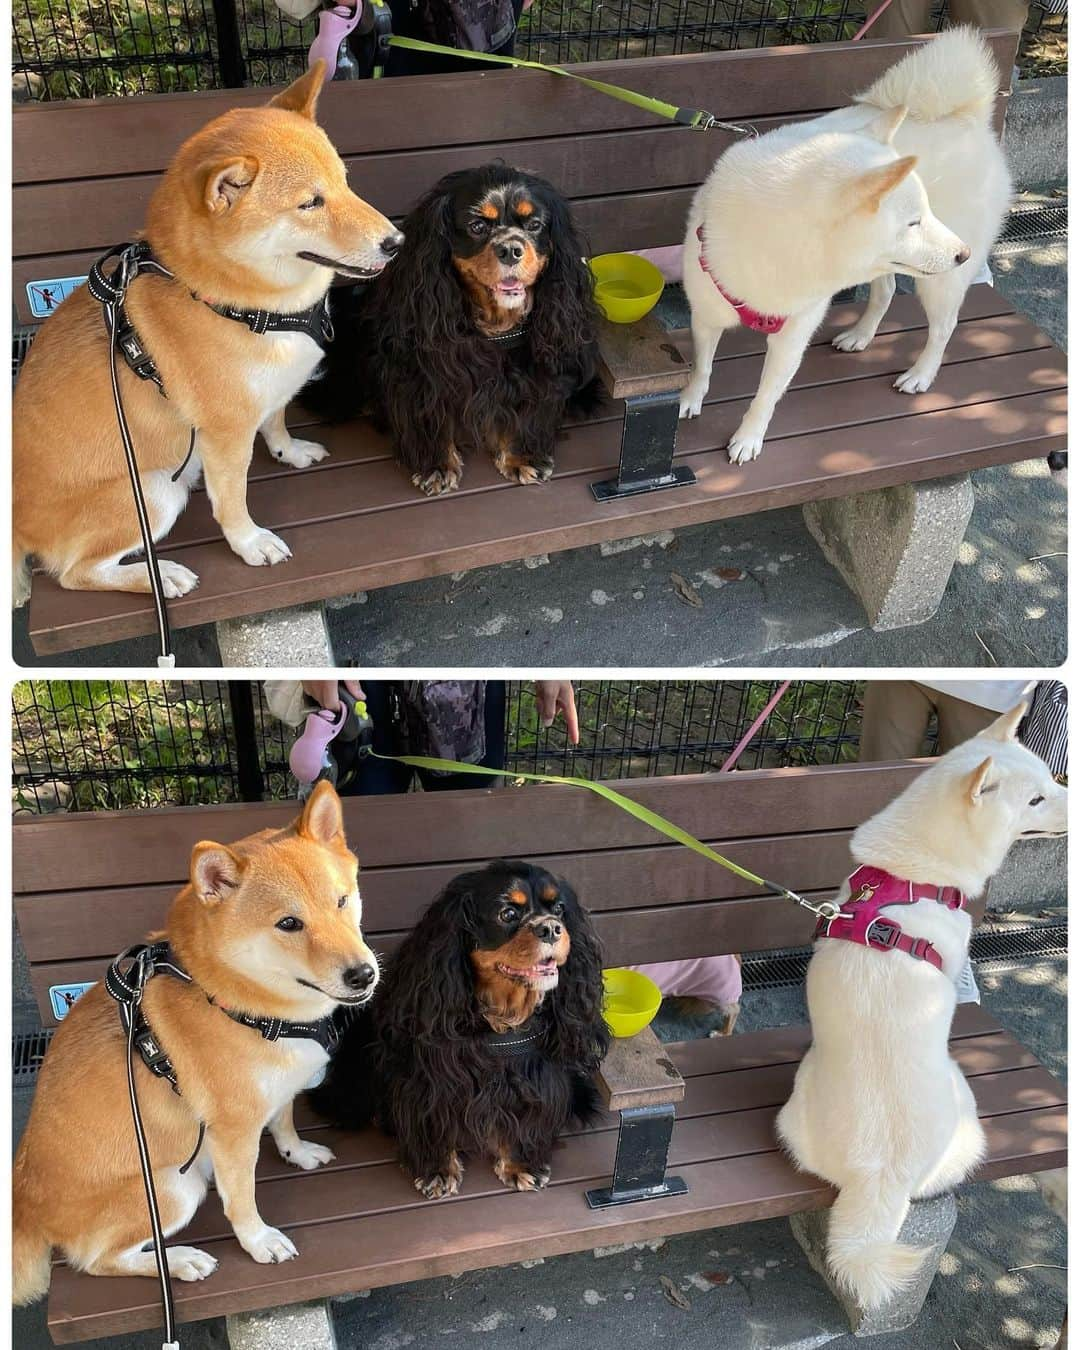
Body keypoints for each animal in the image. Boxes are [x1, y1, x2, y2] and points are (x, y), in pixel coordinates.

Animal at [10, 788, 375, 1301]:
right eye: (289, 923)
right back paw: (181, 1260)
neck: (236, 1002)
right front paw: (258, 1241)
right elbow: (241, 1200)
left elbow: (284, 1122)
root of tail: (25, 1203)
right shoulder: (233, 1132)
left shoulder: (277, 1091)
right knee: (98, 1261)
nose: (363, 974)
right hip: (172, 1188)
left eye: (342, 900)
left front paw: (297, 1152)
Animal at [11, 63, 399, 602]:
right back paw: (161, 576)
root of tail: (16, 521)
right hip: (155, 488)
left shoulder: (271, 393)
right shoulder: (226, 434)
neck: (239, 305)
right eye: (310, 204)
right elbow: (232, 500)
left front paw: (290, 451)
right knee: (74, 573)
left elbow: (276, 421)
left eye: (345, 182)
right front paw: (250, 543)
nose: (396, 241)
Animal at [683, 29, 1015, 464]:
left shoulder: (793, 333)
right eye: (914, 222)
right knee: (886, 291)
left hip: (938, 282)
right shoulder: (705, 311)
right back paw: (861, 335)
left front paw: (748, 438)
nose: (964, 254)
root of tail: (967, 118)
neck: (779, 251)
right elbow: (702, 366)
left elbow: (765, 397)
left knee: (944, 327)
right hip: (893, 265)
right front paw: (690, 399)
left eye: (925, 213)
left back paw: (920, 375)